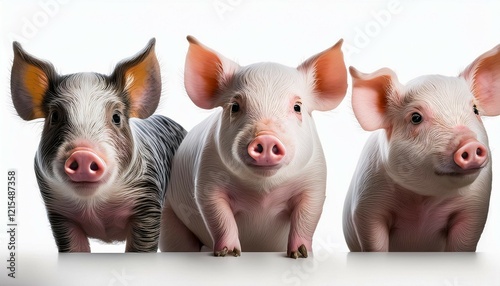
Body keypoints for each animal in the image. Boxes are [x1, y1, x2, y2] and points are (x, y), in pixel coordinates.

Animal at [11, 38, 188, 252]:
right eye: (54, 117)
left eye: (116, 117)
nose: (83, 153)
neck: (95, 207)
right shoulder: (58, 212)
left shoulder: (149, 202)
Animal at [160, 35, 348, 256]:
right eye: (235, 106)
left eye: (297, 107)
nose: (266, 138)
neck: (263, 191)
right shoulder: (206, 178)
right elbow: (219, 217)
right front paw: (228, 253)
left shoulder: (315, 182)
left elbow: (307, 218)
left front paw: (301, 254)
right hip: (169, 217)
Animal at [344, 43, 500, 251]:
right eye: (416, 117)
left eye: (475, 110)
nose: (469, 143)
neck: (424, 200)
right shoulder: (366, 206)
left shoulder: (475, 208)